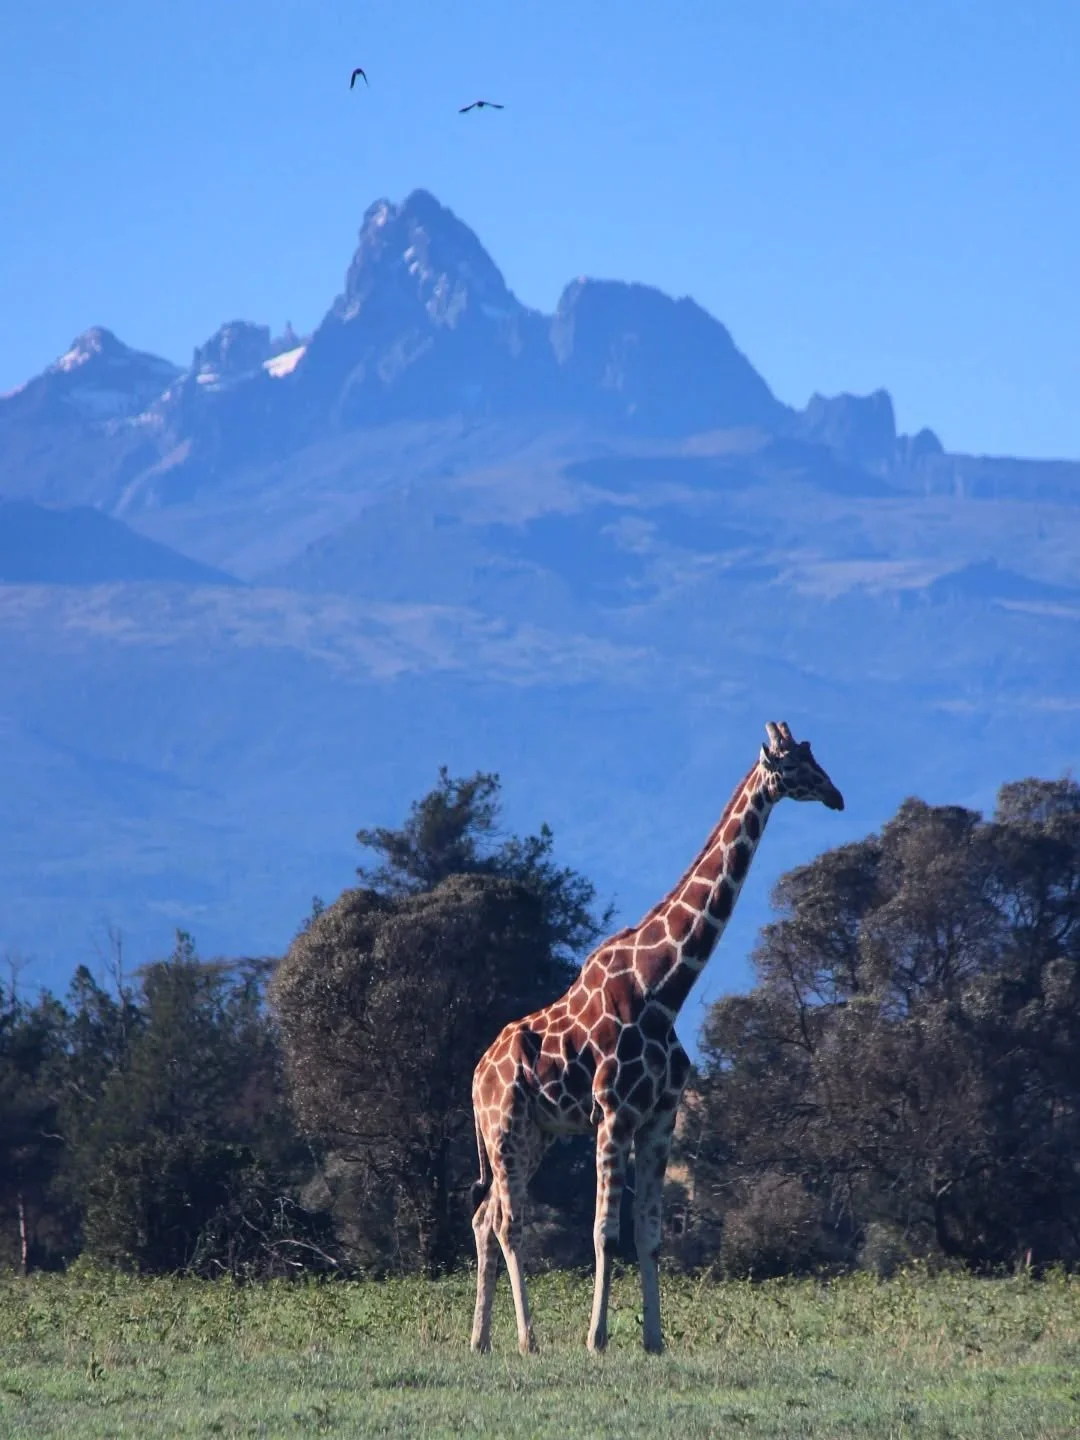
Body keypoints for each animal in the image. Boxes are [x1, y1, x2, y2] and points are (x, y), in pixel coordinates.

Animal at [469, 720, 844, 1356]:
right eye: (794, 766)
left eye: (815, 757)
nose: (837, 796)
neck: (665, 986)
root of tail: (475, 1077)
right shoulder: (614, 1114)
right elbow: (604, 1232)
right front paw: (596, 1339)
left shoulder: (661, 1117)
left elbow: (648, 1233)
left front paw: (654, 1339)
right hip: (505, 1128)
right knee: (508, 1222)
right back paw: (526, 1339)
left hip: (535, 1135)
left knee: (483, 1218)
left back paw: (480, 1339)